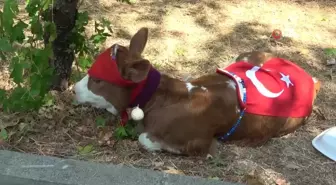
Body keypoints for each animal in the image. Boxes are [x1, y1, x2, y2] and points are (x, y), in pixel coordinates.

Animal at [73, 27, 320, 157]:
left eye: (97, 80)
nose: (73, 89)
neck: (161, 100)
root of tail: (310, 79)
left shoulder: (199, 143)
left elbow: (145, 139)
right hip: (245, 55)